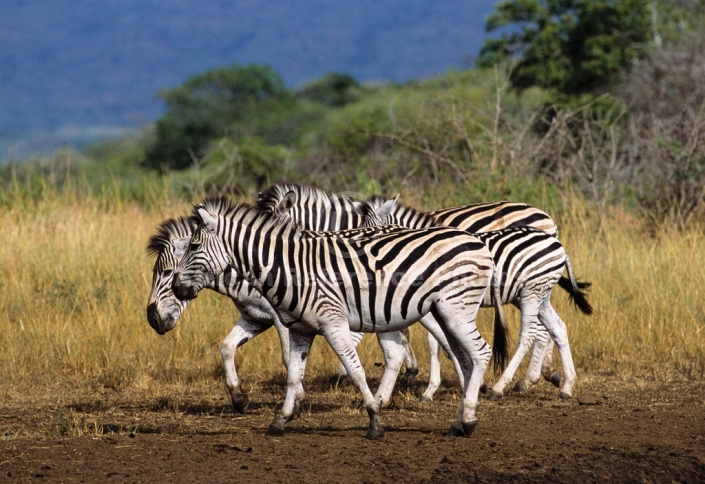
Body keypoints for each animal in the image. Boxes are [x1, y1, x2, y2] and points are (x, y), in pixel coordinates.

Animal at [169, 198, 506, 438]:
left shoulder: (333, 323)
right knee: (465, 359)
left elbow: (355, 372)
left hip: (456, 309)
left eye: (194, 246)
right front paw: (280, 421)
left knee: (480, 353)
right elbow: (293, 375)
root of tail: (477, 241)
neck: (291, 270)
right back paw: (460, 423)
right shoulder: (300, 329)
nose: (176, 287)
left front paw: (374, 421)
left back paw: (469, 418)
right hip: (445, 312)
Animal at [360, 196, 592, 400]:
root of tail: (555, 242)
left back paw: (502, 386)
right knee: (557, 327)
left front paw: (436, 387)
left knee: (529, 335)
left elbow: (433, 342)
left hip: (531, 293)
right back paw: (565, 385)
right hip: (537, 293)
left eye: (372, 234)